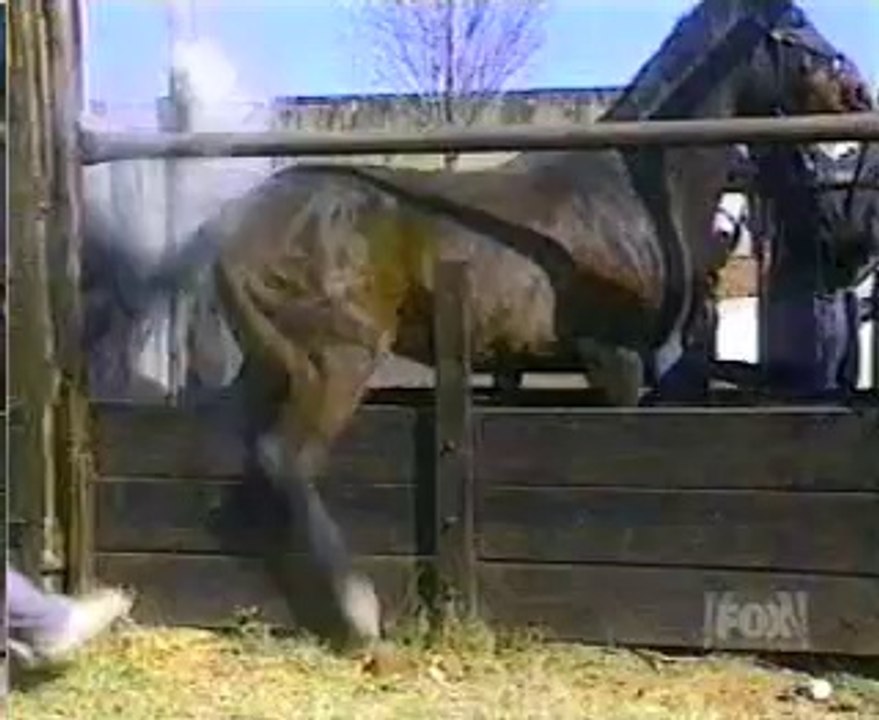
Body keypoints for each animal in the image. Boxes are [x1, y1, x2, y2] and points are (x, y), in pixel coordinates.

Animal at [82, 0, 871, 645]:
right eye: (803, 33)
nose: (860, 93)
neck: (627, 197)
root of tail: (230, 221)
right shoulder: (612, 358)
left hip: (271, 361)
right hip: (337, 360)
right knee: (288, 459)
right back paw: (358, 612)